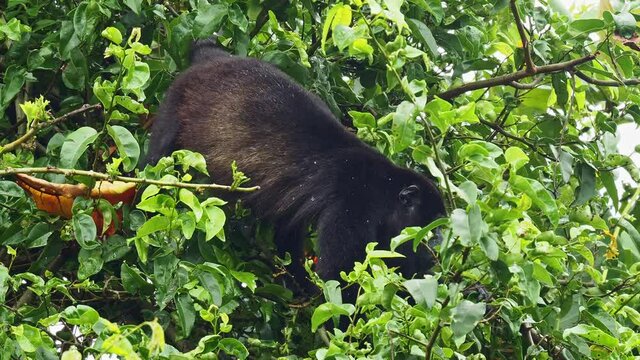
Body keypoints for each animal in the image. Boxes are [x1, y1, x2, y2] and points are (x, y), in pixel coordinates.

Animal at [145, 41, 444, 296]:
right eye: (432, 227)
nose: (437, 247)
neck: (385, 190)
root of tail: (212, 59)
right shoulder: (354, 204)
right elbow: (338, 275)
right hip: (177, 98)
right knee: (156, 157)